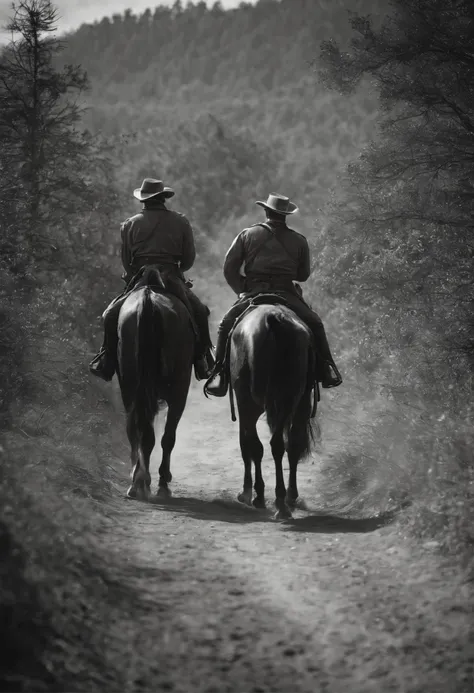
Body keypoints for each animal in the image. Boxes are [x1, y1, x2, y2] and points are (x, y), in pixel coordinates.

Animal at [115, 264, 195, 498]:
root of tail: (148, 300)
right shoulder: (179, 392)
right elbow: (168, 436)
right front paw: (162, 481)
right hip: (176, 389)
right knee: (159, 435)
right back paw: (151, 481)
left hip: (130, 386)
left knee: (135, 428)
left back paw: (137, 481)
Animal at [230, 302, 318, 520]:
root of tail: (273, 320)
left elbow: (247, 444)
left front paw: (248, 492)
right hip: (290, 400)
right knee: (283, 444)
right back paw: (283, 501)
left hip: (250, 402)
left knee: (260, 445)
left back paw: (269, 498)